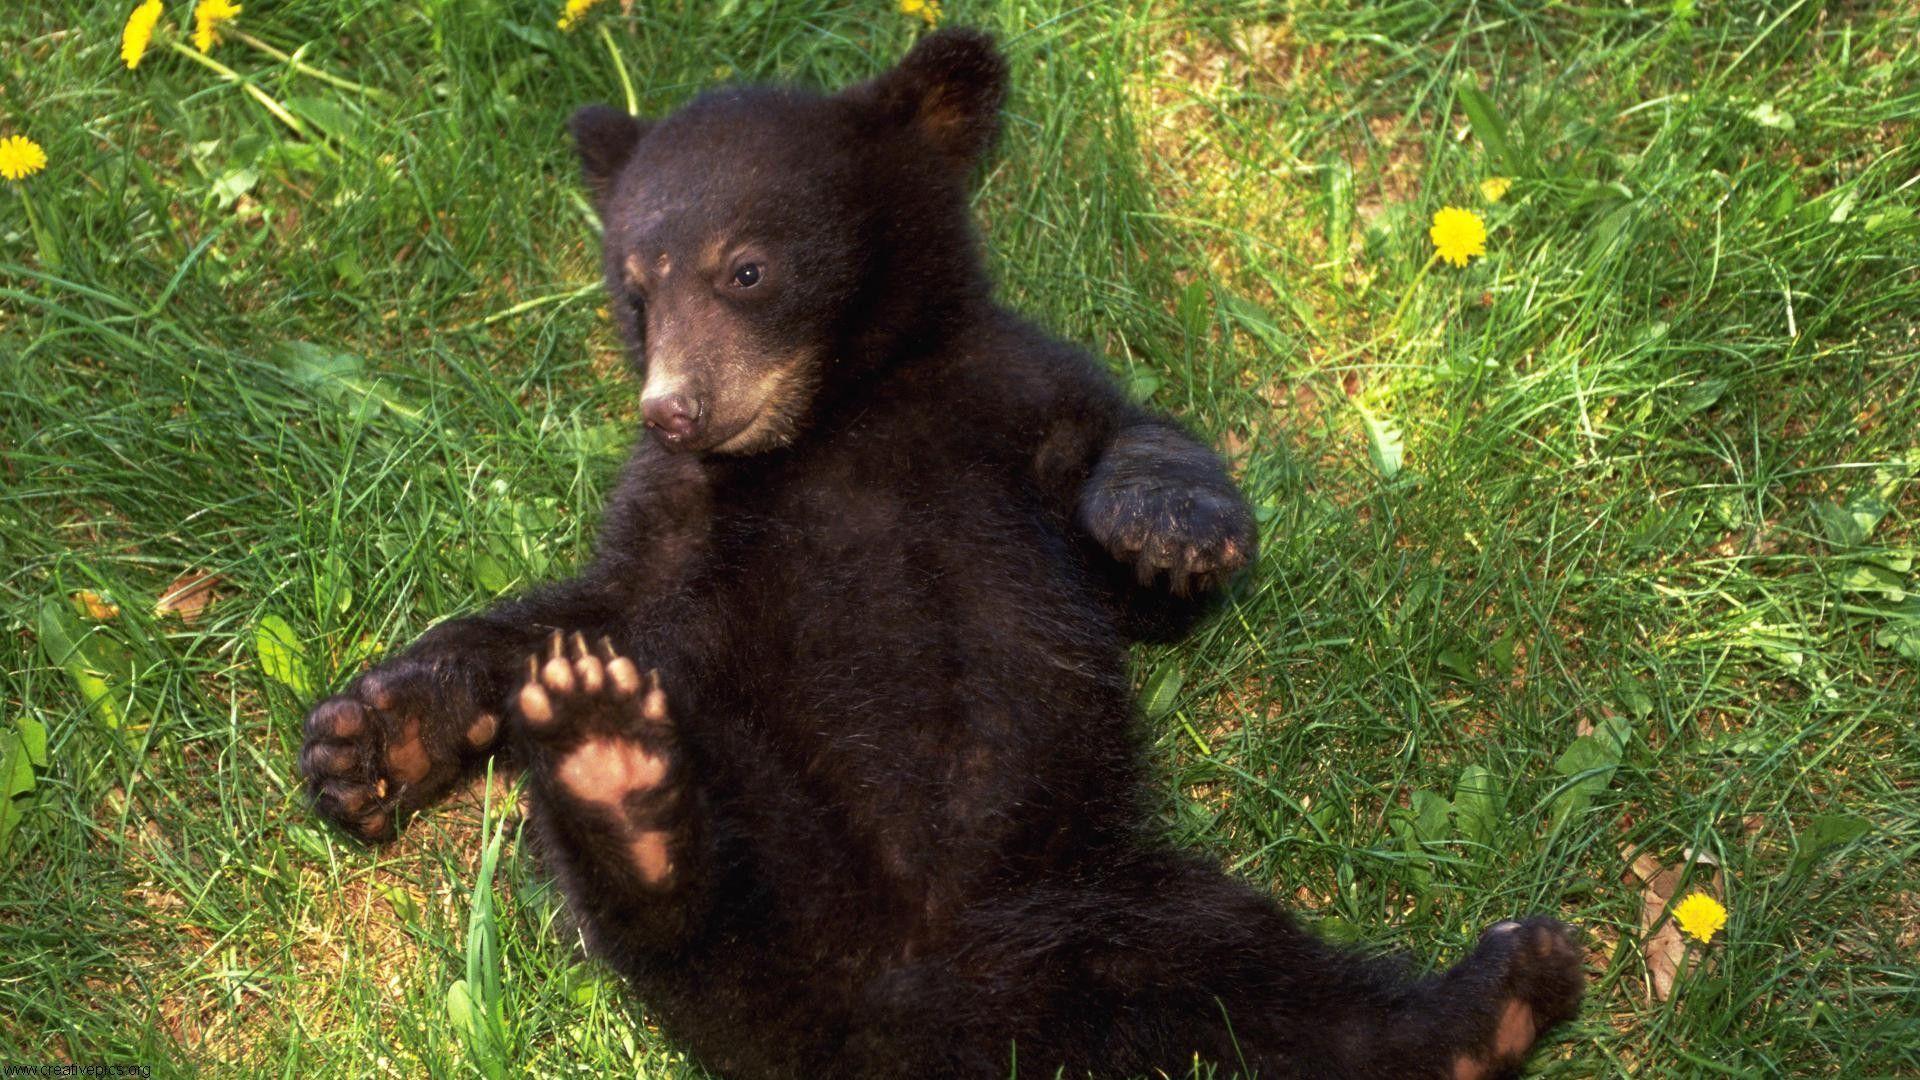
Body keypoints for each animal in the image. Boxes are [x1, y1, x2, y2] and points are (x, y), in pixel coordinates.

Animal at [298, 29, 1583, 1079]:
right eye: (633, 292)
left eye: (745, 266)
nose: (674, 408)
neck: (836, 420)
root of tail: (909, 1008)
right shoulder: (670, 523)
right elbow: (573, 614)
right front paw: (369, 739)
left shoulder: (1005, 396)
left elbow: (1129, 462)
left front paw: (1172, 530)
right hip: (767, 834)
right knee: (690, 923)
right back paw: (614, 775)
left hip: (1112, 899)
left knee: (1259, 983)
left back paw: (1493, 1002)